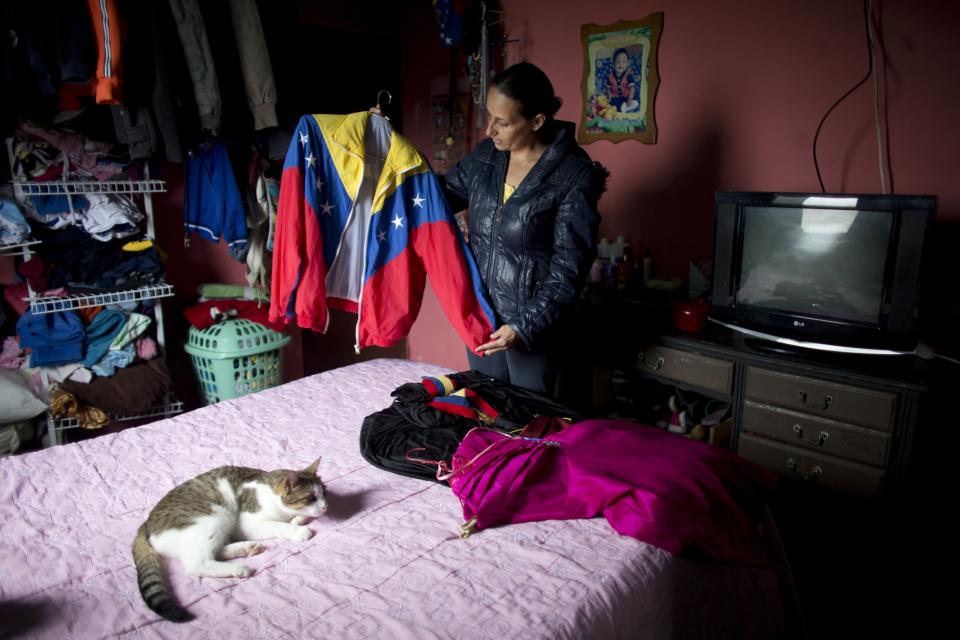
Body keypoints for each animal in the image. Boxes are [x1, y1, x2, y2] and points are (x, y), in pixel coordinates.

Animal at [131, 458, 328, 624]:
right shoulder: (246, 524)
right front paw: (298, 530)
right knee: (198, 563)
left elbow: (299, 517)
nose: (326, 507)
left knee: (216, 550)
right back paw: (239, 568)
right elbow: (277, 525)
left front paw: (298, 520)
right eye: (310, 498)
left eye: (324, 493)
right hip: (215, 516)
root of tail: (146, 524)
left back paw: (247, 548)